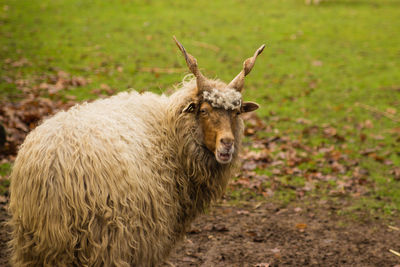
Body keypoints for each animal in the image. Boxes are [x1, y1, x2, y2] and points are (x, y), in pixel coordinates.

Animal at [7, 38, 264, 267]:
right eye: (203, 110)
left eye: (237, 113)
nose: (227, 144)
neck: (169, 133)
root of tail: (52, 169)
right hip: (106, 239)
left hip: (37, 246)